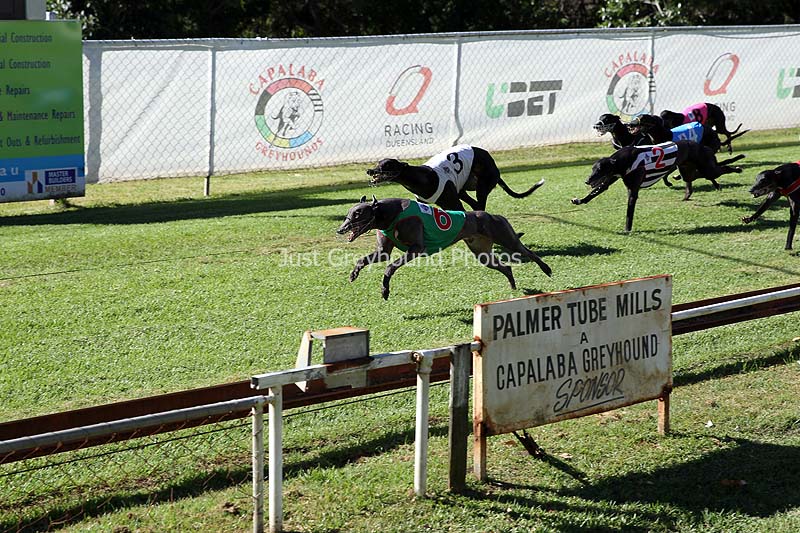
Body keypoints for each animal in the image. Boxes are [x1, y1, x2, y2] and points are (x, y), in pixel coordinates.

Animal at [336, 196, 552, 300]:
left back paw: (547, 269)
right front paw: (353, 274)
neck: (389, 213)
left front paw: (385, 290)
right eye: (348, 214)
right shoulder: (383, 252)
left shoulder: (416, 249)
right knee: (506, 267)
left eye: (357, 214)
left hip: (508, 240)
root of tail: (491, 215)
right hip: (483, 254)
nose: (341, 229)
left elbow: (390, 267)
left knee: (529, 252)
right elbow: (365, 260)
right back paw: (513, 286)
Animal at [366, 145, 544, 212]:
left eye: (387, 165)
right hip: (462, 190)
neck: (421, 177)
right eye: (377, 163)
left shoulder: (454, 204)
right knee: (475, 205)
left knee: (479, 205)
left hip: (482, 186)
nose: (369, 170)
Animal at [570, 140, 745, 232]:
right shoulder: (611, 179)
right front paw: (579, 200)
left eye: (599, 169)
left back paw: (737, 168)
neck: (622, 160)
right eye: (592, 168)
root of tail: (703, 146)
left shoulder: (632, 190)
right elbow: (594, 192)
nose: (587, 180)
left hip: (707, 168)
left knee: (721, 169)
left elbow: (629, 213)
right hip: (689, 171)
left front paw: (627, 230)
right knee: (700, 176)